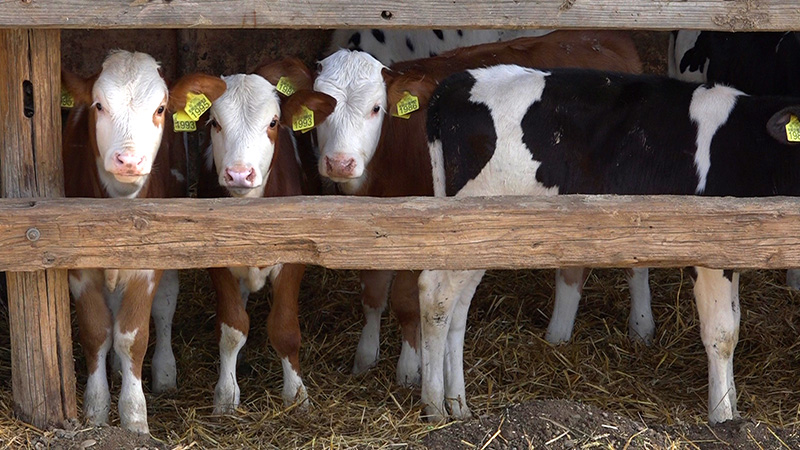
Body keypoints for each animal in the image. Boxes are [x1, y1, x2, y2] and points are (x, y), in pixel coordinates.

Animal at [61, 51, 220, 434]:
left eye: (160, 108)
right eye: (99, 106)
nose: (130, 160)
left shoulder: (147, 264)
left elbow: (133, 337)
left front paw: (135, 418)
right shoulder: (80, 266)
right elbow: (97, 332)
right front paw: (96, 410)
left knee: (164, 307)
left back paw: (164, 372)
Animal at [175, 59, 318, 414]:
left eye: (273, 122)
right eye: (214, 122)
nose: (239, 174)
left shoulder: (294, 256)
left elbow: (284, 329)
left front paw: (296, 396)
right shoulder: (216, 260)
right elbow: (232, 327)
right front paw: (226, 396)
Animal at [284, 30, 652, 386]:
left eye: (376, 108)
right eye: (320, 111)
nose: (340, 163)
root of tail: (605, 39)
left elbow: (405, 302)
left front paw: (409, 370)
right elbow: (373, 294)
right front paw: (365, 358)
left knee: (636, 258)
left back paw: (641, 327)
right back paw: (558, 335)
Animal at [418, 65, 800, 424]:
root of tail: (456, 82)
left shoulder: (734, 253)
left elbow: (735, 321)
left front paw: (733, 406)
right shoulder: (709, 252)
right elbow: (722, 333)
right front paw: (722, 416)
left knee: (458, 307)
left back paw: (459, 406)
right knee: (434, 293)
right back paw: (434, 408)